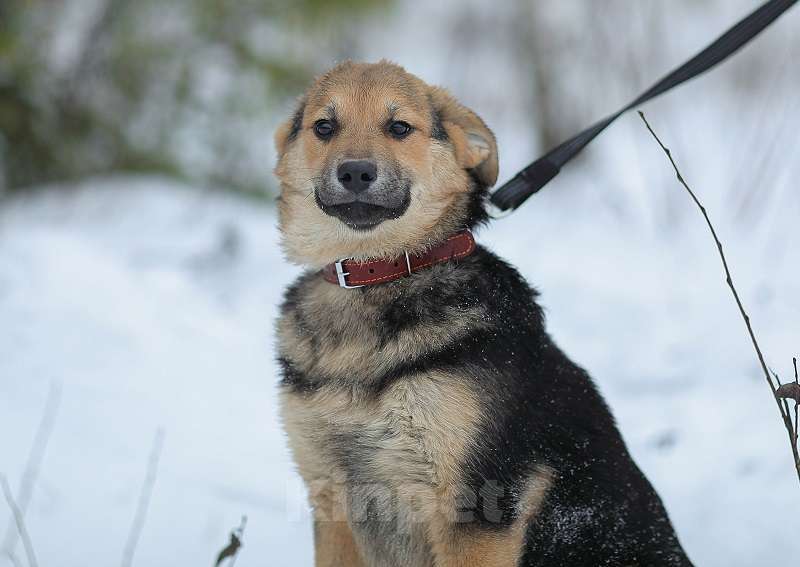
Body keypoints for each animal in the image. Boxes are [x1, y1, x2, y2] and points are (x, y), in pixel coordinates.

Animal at [272, 62, 692, 567]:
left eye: (399, 128)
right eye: (324, 127)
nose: (355, 171)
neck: (379, 275)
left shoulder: (478, 508)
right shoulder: (330, 498)